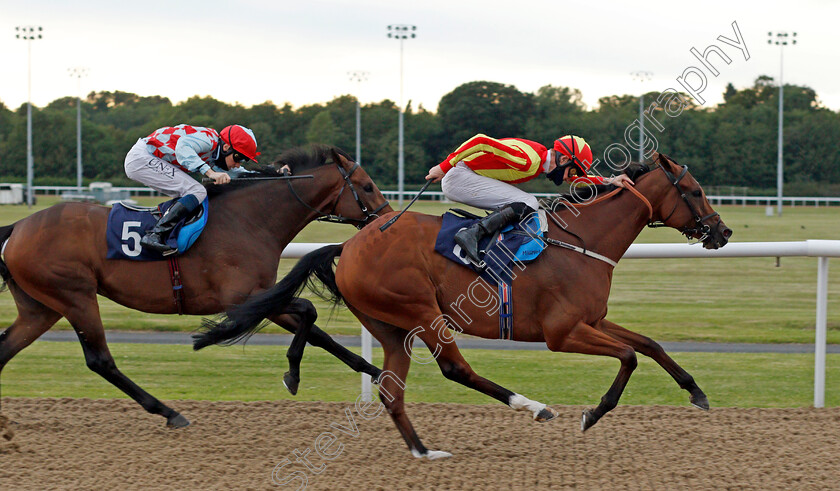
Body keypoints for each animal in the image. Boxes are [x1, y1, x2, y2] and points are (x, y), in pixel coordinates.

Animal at [0, 144, 392, 428]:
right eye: (368, 186)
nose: (387, 218)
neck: (249, 221)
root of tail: (17, 227)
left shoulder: (263, 296)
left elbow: (320, 334)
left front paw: (378, 374)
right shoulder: (242, 297)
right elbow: (309, 312)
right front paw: (292, 374)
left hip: (42, 306)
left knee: (6, 348)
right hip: (75, 296)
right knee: (100, 360)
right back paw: (169, 412)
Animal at [194, 153, 732, 458]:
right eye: (695, 190)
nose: (723, 231)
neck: (584, 242)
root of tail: (350, 243)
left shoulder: (592, 319)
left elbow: (650, 343)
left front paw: (696, 392)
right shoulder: (562, 333)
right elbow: (629, 356)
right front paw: (594, 413)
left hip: (391, 326)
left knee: (392, 389)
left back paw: (423, 451)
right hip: (421, 311)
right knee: (455, 368)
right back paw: (532, 406)